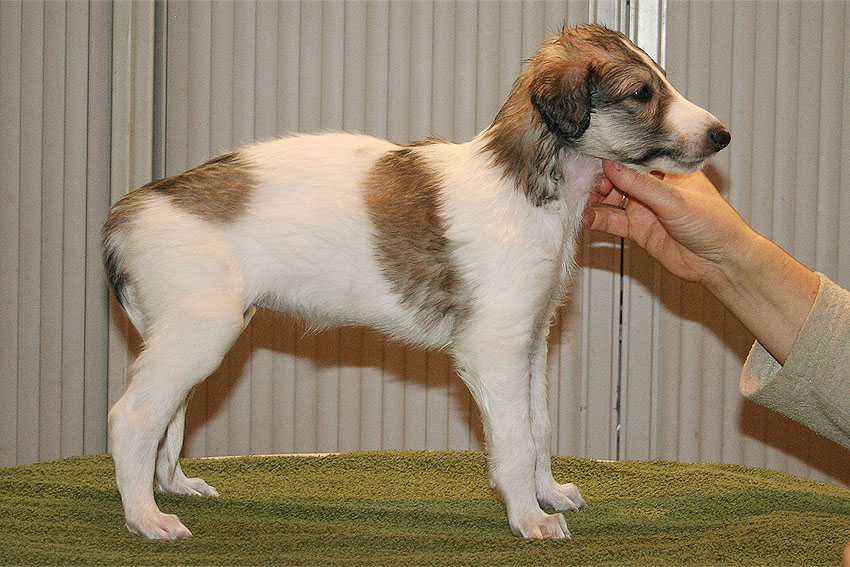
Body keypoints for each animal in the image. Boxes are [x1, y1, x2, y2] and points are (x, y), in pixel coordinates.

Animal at [103, 24, 729, 540]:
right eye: (641, 93)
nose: (722, 135)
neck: (527, 186)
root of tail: (129, 211)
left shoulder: (530, 341)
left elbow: (539, 428)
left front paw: (547, 494)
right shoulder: (493, 346)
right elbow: (514, 440)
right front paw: (529, 517)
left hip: (191, 337)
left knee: (165, 419)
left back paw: (175, 486)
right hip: (201, 331)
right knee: (131, 417)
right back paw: (145, 517)